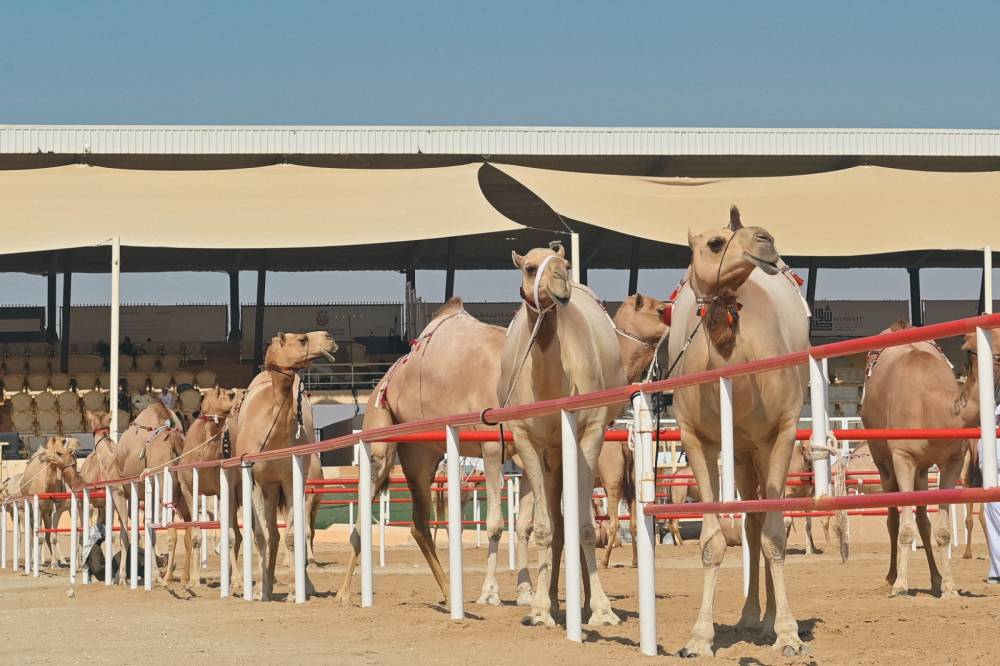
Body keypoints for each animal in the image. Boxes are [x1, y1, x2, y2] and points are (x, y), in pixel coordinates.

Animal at [19, 436, 83, 567]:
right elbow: (42, 536)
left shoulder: (59, 508)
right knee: (33, 533)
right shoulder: (43, 508)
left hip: (48, 512)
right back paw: (36, 561)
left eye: (60, 452)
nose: (42, 457)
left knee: (48, 534)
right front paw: (44, 563)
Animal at [230, 331, 336, 601]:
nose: (329, 338)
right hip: (268, 489)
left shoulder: (290, 480)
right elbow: (261, 536)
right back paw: (264, 584)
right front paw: (262, 590)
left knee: (291, 533)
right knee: (271, 534)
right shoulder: (255, 482)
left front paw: (294, 591)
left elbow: (292, 535)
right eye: (301, 339)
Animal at [499, 244, 626, 628]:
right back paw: (554, 602)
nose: (560, 283)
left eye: (566, 264)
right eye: (529, 268)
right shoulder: (527, 439)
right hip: (551, 454)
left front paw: (602, 609)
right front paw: (540, 609)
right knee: (555, 521)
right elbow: (545, 527)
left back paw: (580, 603)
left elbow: (584, 525)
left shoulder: (591, 431)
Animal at [667, 208, 810, 657]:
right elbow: (713, 539)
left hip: (760, 448)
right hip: (742, 452)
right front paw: (698, 637)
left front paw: (787, 633)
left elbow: (776, 535)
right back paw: (750, 617)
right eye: (714, 243)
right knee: (750, 521)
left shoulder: (780, 432)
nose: (766, 240)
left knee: (764, 520)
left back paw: (767, 623)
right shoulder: (697, 438)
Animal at [860, 321, 1000, 597]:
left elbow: (942, 529)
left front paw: (949, 586)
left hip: (923, 470)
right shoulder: (903, 457)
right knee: (893, 519)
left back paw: (935, 578)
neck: (931, 405)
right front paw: (901, 585)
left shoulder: (953, 461)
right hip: (882, 461)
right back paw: (890, 578)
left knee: (923, 519)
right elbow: (904, 527)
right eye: (994, 339)